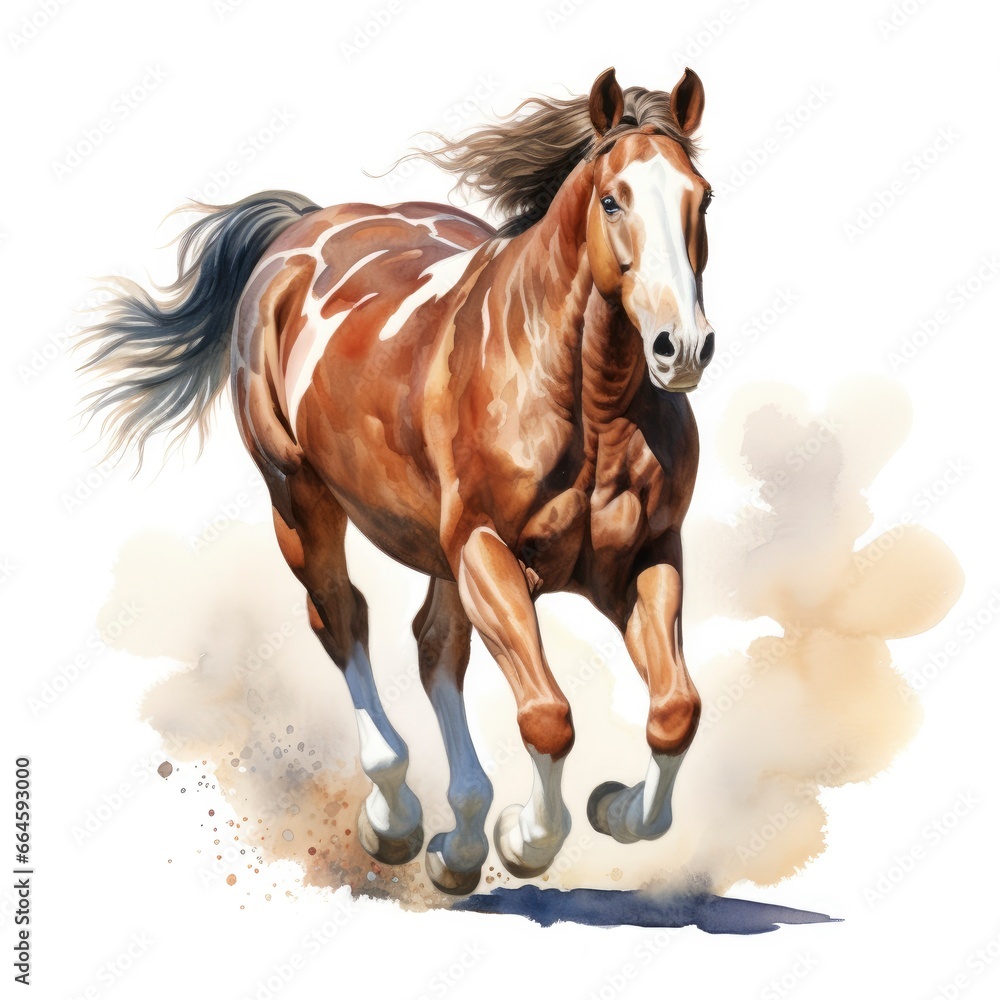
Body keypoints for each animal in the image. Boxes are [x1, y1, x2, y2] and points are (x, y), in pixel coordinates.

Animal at [81, 66, 716, 895]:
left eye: (703, 198)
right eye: (614, 199)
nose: (683, 348)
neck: (591, 408)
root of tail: (301, 229)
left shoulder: (645, 557)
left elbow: (675, 710)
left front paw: (611, 807)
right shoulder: (487, 553)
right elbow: (547, 716)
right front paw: (524, 840)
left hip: (437, 552)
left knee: (432, 645)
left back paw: (461, 839)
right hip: (299, 498)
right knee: (341, 617)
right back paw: (397, 819)